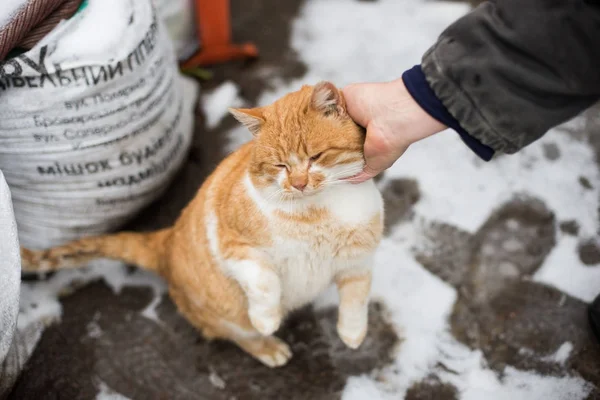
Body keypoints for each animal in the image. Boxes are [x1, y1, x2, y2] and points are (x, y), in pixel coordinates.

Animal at [21, 82, 384, 368]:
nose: (298, 184)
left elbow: (357, 298)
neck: (319, 212)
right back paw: (268, 347)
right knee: (239, 334)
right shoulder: (234, 247)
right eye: (279, 165)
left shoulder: (358, 262)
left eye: (315, 157)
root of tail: (166, 241)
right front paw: (268, 320)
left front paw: (353, 334)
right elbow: (265, 283)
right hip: (224, 312)